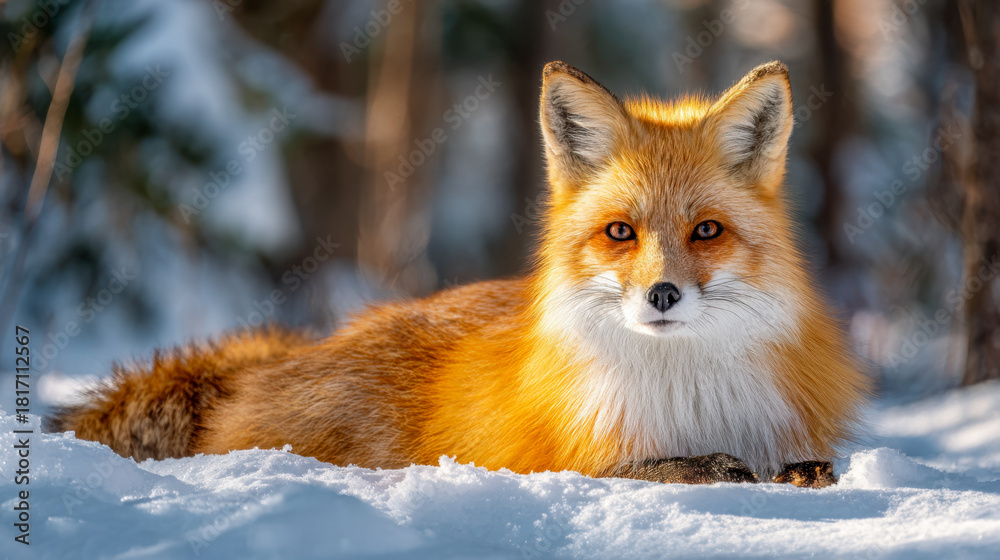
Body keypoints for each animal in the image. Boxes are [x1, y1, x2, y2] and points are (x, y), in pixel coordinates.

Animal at [47, 61, 869, 488]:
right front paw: (718, 468)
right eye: (620, 233)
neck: (685, 393)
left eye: (706, 231)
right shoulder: (556, 461)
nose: (661, 294)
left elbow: (801, 464)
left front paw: (794, 474)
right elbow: (661, 468)